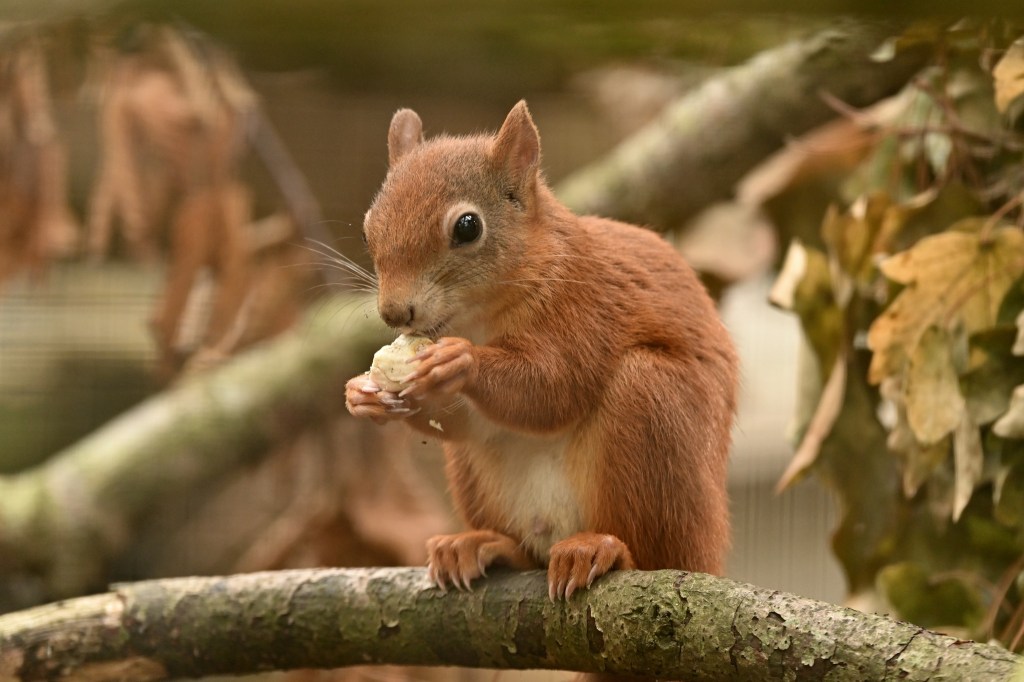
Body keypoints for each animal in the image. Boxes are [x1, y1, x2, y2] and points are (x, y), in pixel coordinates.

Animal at [345, 100, 738, 603]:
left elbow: (553, 389)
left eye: (467, 227)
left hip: (653, 410)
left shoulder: (584, 308)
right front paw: (362, 395)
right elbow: (470, 422)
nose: (395, 312)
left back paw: (601, 549)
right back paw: (481, 545)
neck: (479, 319)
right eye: (368, 227)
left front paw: (461, 362)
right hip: (476, 479)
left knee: (650, 554)